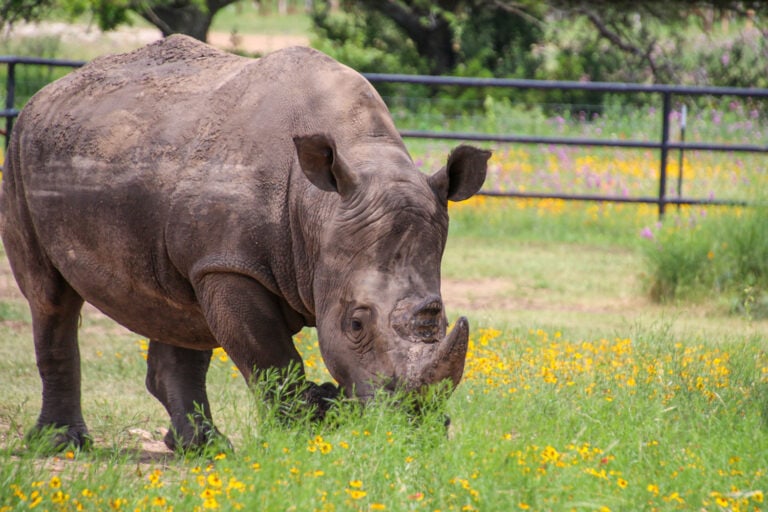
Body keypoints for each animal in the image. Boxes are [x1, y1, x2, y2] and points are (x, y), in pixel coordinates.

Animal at [1, 35, 490, 451]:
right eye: (355, 324)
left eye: (441, 316)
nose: (414, 428)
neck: (320, 208)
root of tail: (47, 91)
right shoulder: (231, 263)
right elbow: (270, 356)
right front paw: (305, 436)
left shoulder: (222, 257)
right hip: (22, 152)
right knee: (50, 299)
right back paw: (63, 444)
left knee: (183, 310)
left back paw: (204, 449)